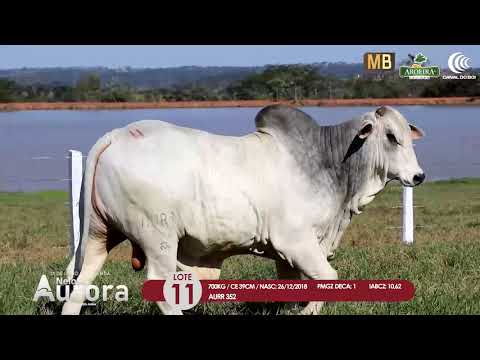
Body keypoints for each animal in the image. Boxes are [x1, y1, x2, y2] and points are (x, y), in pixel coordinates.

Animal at [62, 105, 426, 316]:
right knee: (160, 287)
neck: (329, 161)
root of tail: (116, 135)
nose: (419, 176)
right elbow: (327, 278)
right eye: (391, 136)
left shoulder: (287, 256)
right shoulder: (296, 241)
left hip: (99, 234)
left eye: (409, 136)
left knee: (81, 282)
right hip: (158, 237)